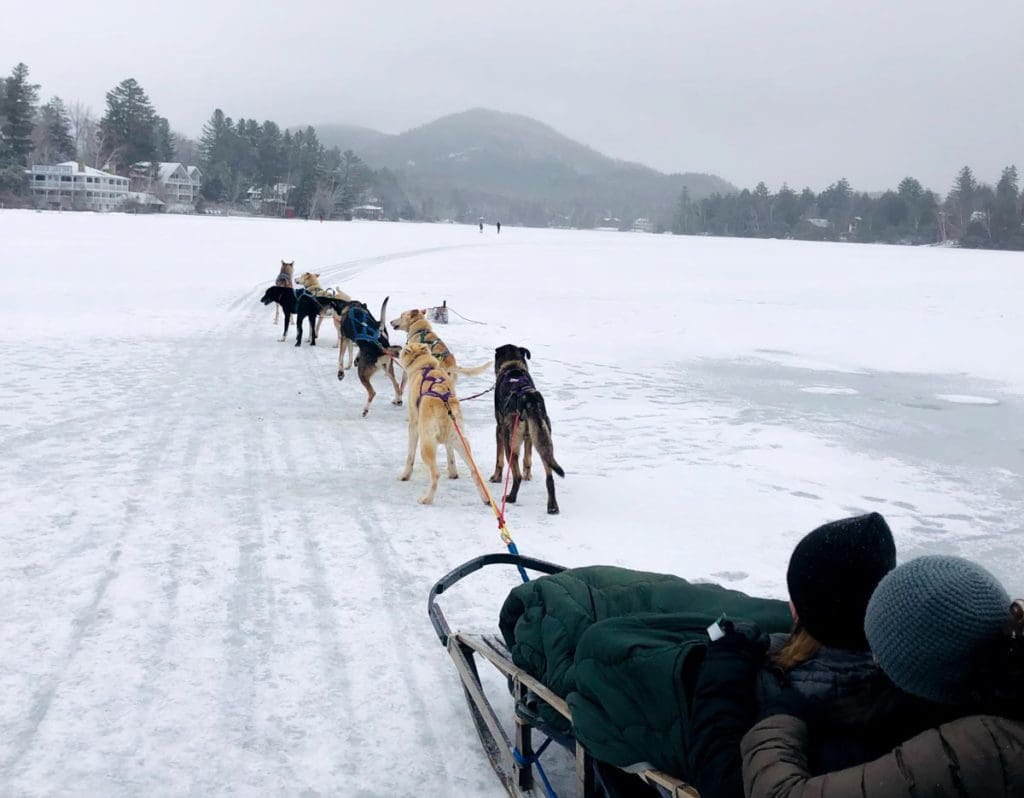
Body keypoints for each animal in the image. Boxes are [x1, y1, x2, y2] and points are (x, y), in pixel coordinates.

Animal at [397, 344, 489, 506]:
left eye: (406, 347)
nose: (399, 349)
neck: (425, 366)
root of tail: (445, 404)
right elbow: (450, 456)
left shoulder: (414, 425)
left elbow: (410, 455)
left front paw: (405, 475)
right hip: (462, 442)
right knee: (474, 472)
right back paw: (485, 498)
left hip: (426, 445)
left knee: (436, 474)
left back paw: (427, 499)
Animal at [489, 346, 565, 514]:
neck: (513, 367)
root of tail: (529, 400)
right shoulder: (530, 437)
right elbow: (528, 459)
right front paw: (527, 475)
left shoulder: (499, 429)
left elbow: (498, 459)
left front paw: (496, 478)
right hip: (544, 440)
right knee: (549, 477)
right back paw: (552, 506)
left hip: (511, 441)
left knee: (516, 475)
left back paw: (511, 497)